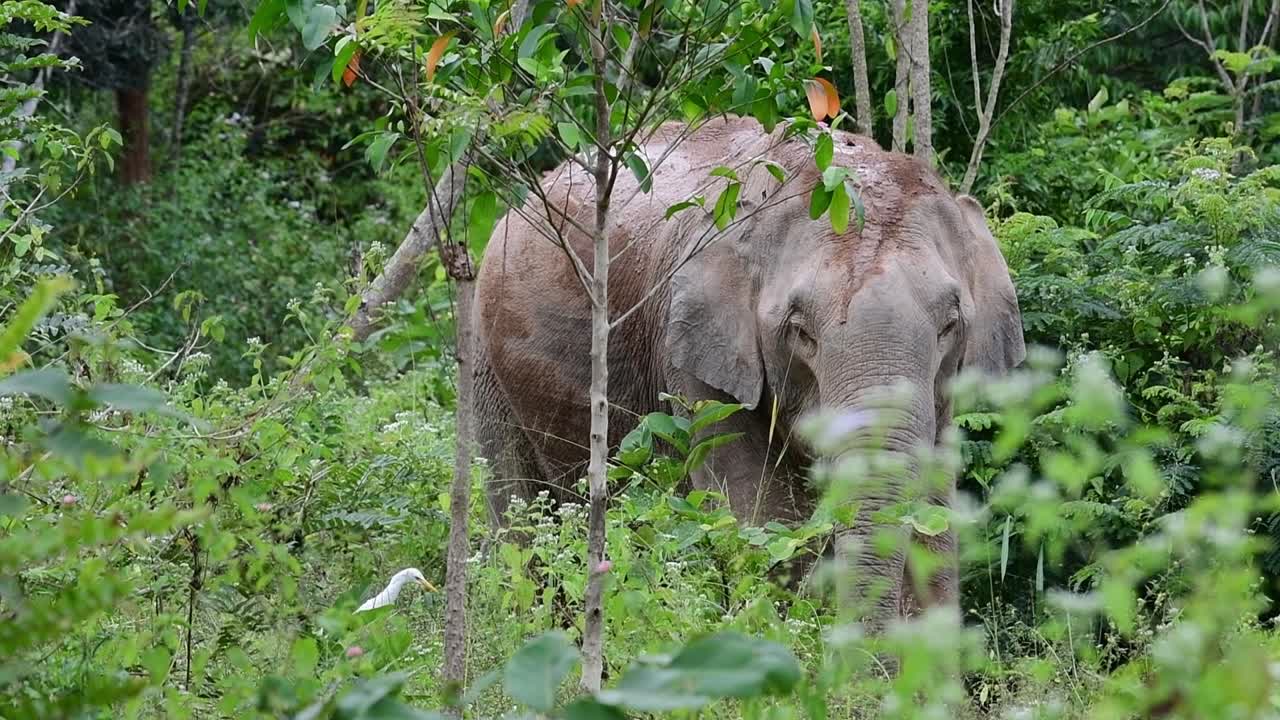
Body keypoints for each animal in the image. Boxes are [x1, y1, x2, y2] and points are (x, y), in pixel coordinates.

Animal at [471, 115, 1024, 628]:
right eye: (799, 330)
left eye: (950, 324)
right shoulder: (695, 359)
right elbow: (762, 516)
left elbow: (933, 516)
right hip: (484, 356)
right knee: (517, 516)